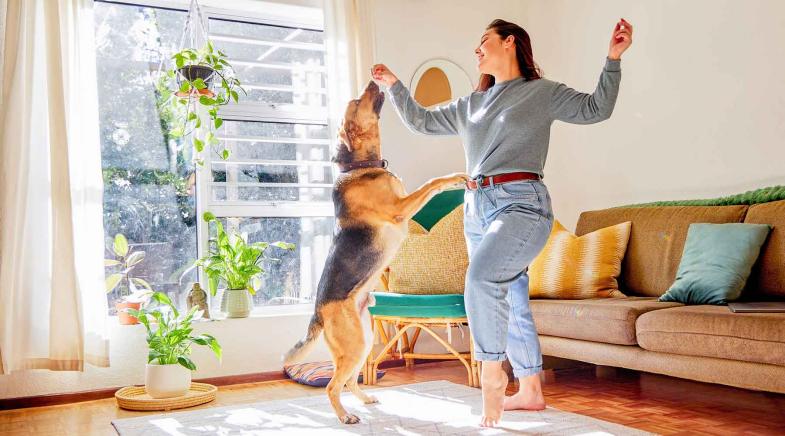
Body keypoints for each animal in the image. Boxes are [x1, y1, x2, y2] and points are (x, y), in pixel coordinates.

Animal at [282, 80, 466, 424]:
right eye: (356, 102)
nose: (373, 80)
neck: (360, 166)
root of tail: (318, 312)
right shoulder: (400, 209)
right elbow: (432, 182)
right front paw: (455, 178)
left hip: (364, 340)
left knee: (350, 380)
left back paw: (366, 400)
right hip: (354, 344)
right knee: (333, 386)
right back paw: (345, 417)